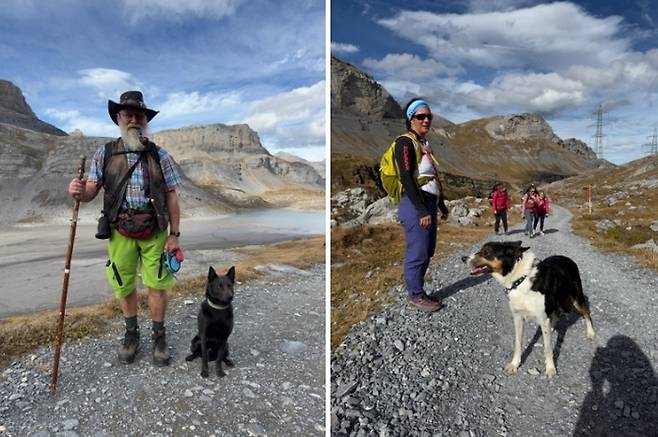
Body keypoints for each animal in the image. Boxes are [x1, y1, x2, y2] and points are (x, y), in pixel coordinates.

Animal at [458, 240, 592, 376]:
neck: (520, 279)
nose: (463, 258)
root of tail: (567, 258)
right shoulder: (518, 317)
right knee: (556, 313)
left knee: (587, 313)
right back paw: (553, 327)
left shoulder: (542, 318)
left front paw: (550, 368)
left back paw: (591, 333)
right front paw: (514, 364)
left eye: (486, 252)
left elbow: (547, 348)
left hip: (576, 298)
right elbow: (518, 343)